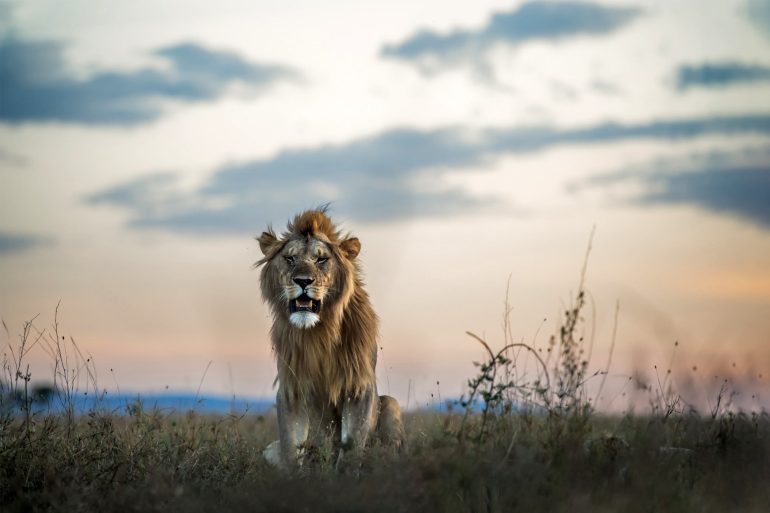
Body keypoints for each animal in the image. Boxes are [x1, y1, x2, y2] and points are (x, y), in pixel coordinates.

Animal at [256, 208, 405, 468]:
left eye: (321, 260)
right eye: (290, 258)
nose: (303, 281)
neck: (318, 333)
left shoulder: (358, 386)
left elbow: (352, 447)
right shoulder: (292, 389)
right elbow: (291, 447)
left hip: (391, 404)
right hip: (268, 450)